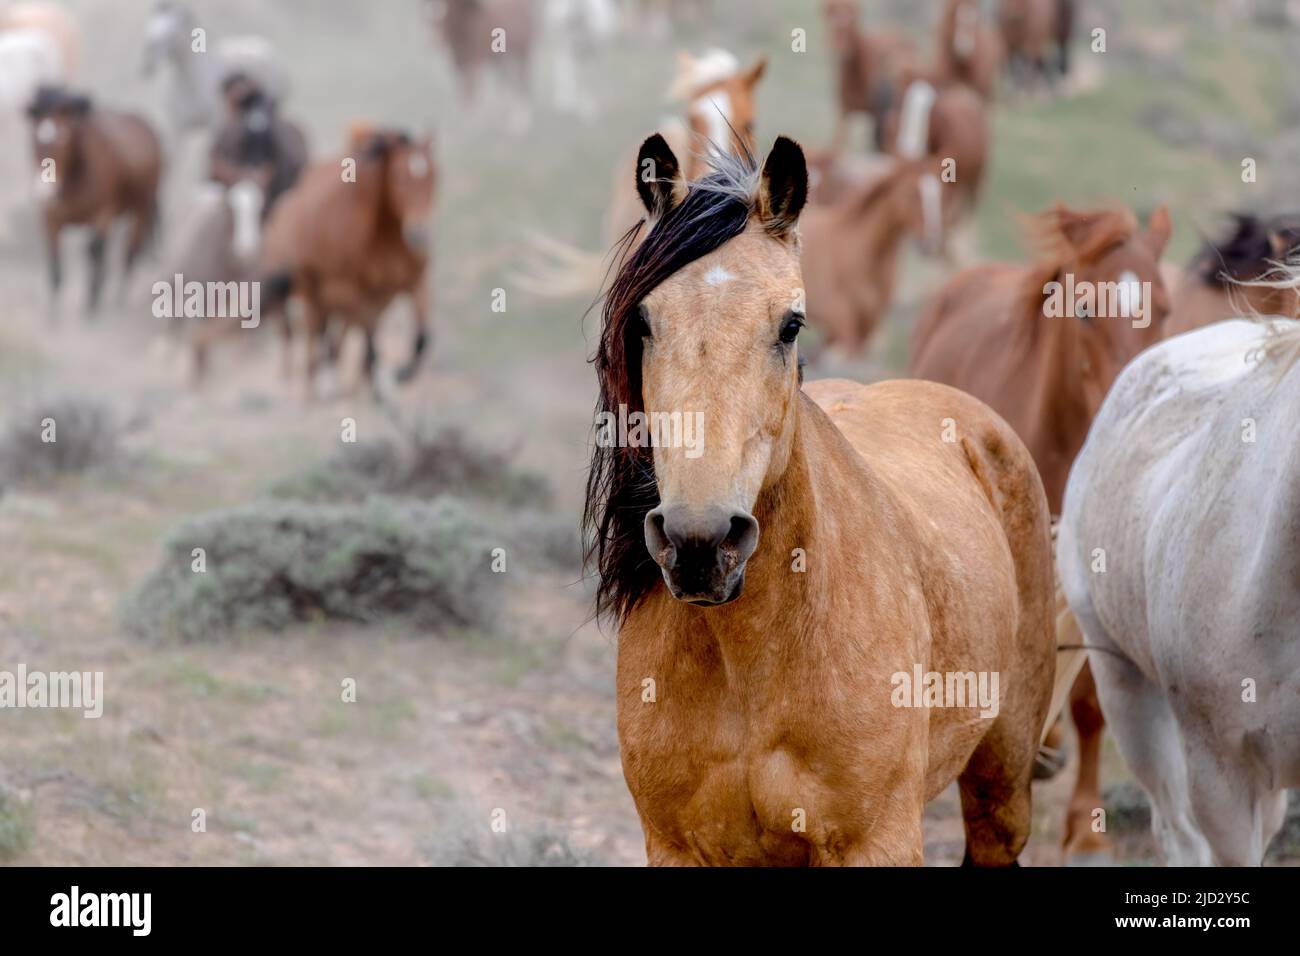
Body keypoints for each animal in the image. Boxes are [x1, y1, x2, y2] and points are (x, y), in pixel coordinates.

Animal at [27, 85, 162, 316]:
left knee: (129, 250)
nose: (44, 191)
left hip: (141, 207)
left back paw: (119, 295)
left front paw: (92, 302)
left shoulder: (103, 214)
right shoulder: (50, 218)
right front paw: (54, 314)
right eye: (35, 138)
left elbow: (93, 250)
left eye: (63, 138)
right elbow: (55, 263)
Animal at [142, 0, 286, 137]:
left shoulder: (214, 127)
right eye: (150, 29)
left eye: (172, 32)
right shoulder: (177, 130)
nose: (148, 64)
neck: (189, 85)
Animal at [250, 126, 436, 398]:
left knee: (335, 339)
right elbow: (369, 346)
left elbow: (421, 338)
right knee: (315, 333)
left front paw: (401, 373)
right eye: (399, 176)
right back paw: (317, 383)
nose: (419, 232)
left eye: (434, 175)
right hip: (311, 289)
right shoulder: (359, 293)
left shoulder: (414, 282)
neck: (386, 238)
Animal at [822, 0, 920, 151]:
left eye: (853, 22)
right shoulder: (844, 109)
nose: (842, 51)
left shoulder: (877, 115)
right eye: (830, 21)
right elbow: (839, 143)